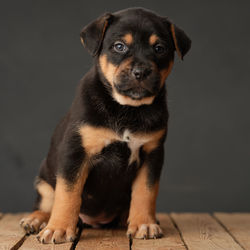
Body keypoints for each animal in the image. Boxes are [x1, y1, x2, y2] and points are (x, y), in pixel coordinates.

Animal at [20, 6, 191, 243]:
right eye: (119, 46)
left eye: (159, 48)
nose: (141, 72)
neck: (127, 108)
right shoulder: (76, 153)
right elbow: (68, 194)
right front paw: (59, 229)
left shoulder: (152, 154)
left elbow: (145, 192)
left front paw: (144, 224)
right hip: (44, 180)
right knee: (47, 203)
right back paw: (36, 220)